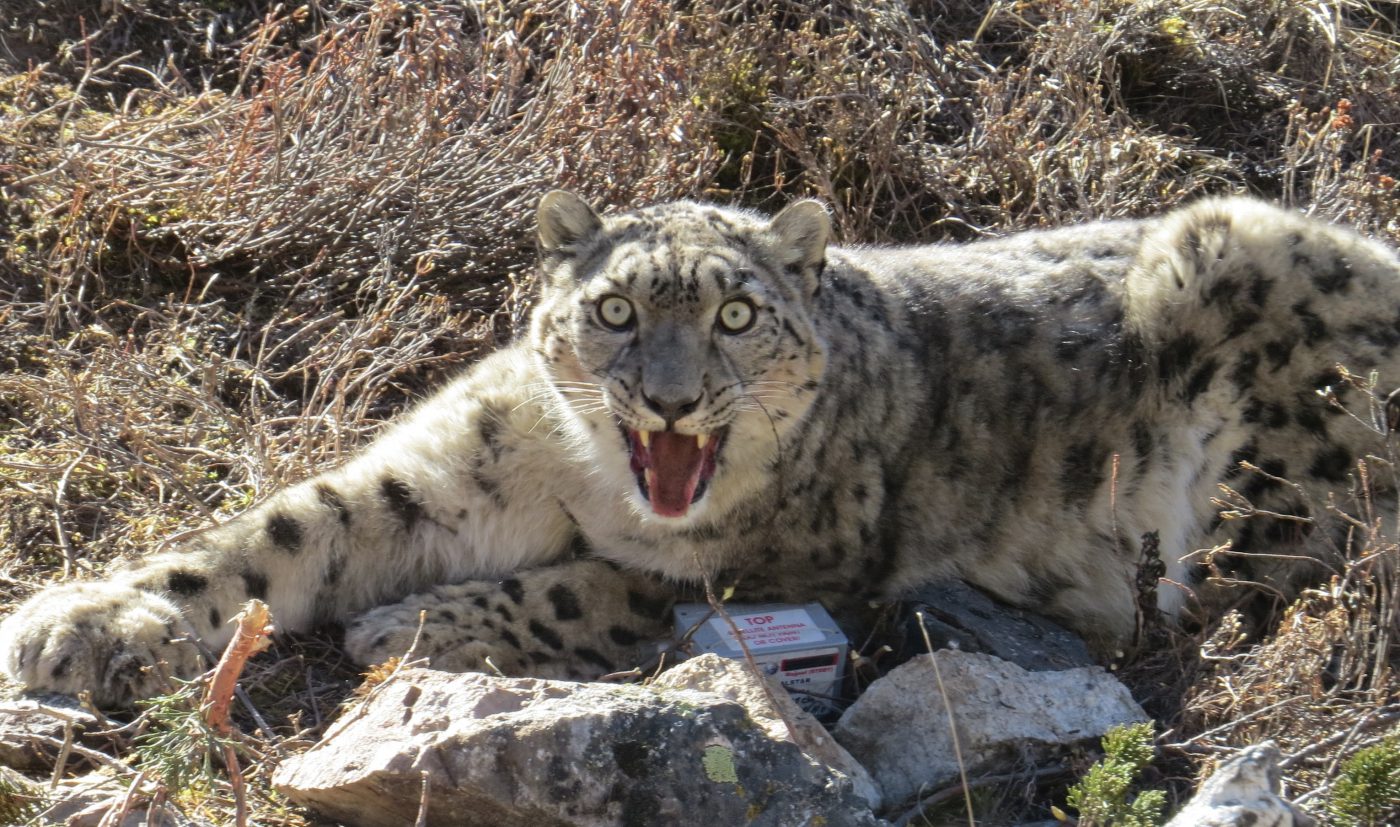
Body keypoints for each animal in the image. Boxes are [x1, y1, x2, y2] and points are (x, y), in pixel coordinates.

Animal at [4, 190, 1400, 708]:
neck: (579, 482)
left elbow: (599, 585)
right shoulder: (445, 470)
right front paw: (78, 625)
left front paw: (415, 624)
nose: (670, 404)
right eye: (618, 310)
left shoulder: (796, 565)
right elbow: (288, 527)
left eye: (735, 314)